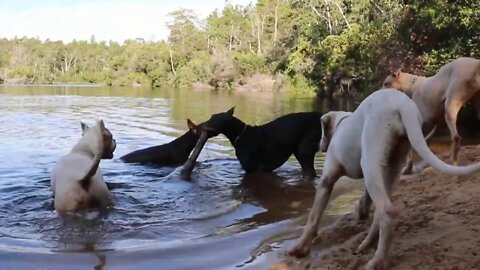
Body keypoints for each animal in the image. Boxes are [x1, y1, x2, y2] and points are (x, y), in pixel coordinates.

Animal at [181, 107, 322, 179]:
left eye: (212, 119)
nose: (198, 127)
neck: (240, 134)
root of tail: (319, 116)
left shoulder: (252, 169)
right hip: (298, 152)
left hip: (304, 150)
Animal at [288, 89, 480, 270]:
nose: (320, 145)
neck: (342, 122)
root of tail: (403, 105)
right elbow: (365, 199)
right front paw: (361, 211)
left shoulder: (327, 179)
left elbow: (313, 217)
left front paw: (300, 248)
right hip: (392, 162)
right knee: (381, 210)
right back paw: (367, 244)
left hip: (371, 158)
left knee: (387, 210)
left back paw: (378, 260)